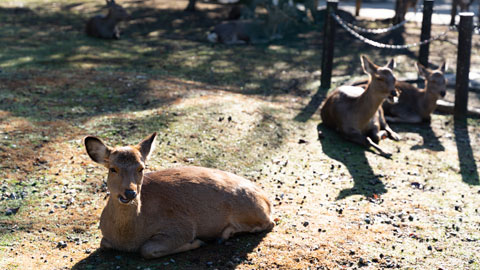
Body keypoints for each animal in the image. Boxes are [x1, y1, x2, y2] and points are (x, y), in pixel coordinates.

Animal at [82, 133, 274, 260]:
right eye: (112, 168)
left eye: (141, 168)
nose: (130, 192)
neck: (127, 238)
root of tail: (267, 201)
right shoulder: (106, 238)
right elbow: (104, 243)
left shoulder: (181, 226)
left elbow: (147, 249)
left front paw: (196, 243)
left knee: (268, 223)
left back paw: (225, 234)